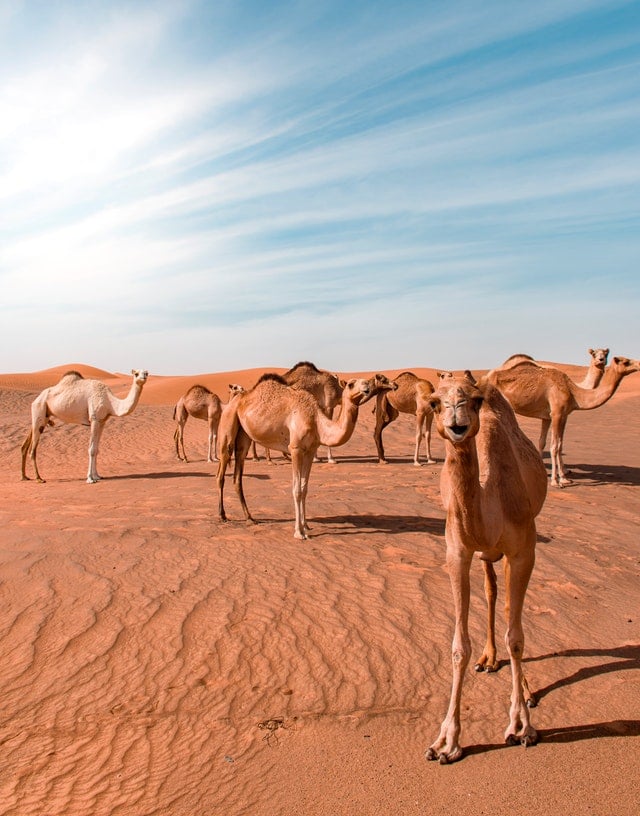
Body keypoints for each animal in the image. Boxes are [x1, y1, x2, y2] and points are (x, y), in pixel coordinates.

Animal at [216, 372, 395, 539]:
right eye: (351, 384)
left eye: (365, 382)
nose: (366, 387)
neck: (316, 421)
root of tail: (235, 401)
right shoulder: (295, 449)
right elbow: (296, 490)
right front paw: (298, 532)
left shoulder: (310, 450)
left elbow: (304, 488)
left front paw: (306, 526)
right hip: (227, 426)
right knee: (221, 472)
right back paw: (222, 515)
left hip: (244, 437)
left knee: (237, 476)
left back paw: (250, 518)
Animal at [425, 372, 548, 764]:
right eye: (435, 402)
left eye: (475, 400)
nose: (457, 423)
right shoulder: (458, 551)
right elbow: (458, 646)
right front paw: (446, 741)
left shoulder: (523, 548)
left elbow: (517, 636)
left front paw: (521, 726)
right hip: (484, 555)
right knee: (492, 591)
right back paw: (489, 658)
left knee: (508, 609)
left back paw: (526, 691)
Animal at [486, 355, 640, 486]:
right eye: (626, 362)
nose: (639, 364)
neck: (573, 392)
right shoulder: (557, 413)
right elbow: (554, 446)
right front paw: (555, 481)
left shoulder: (556, 416)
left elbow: (556, 444)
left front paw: (564, 478)